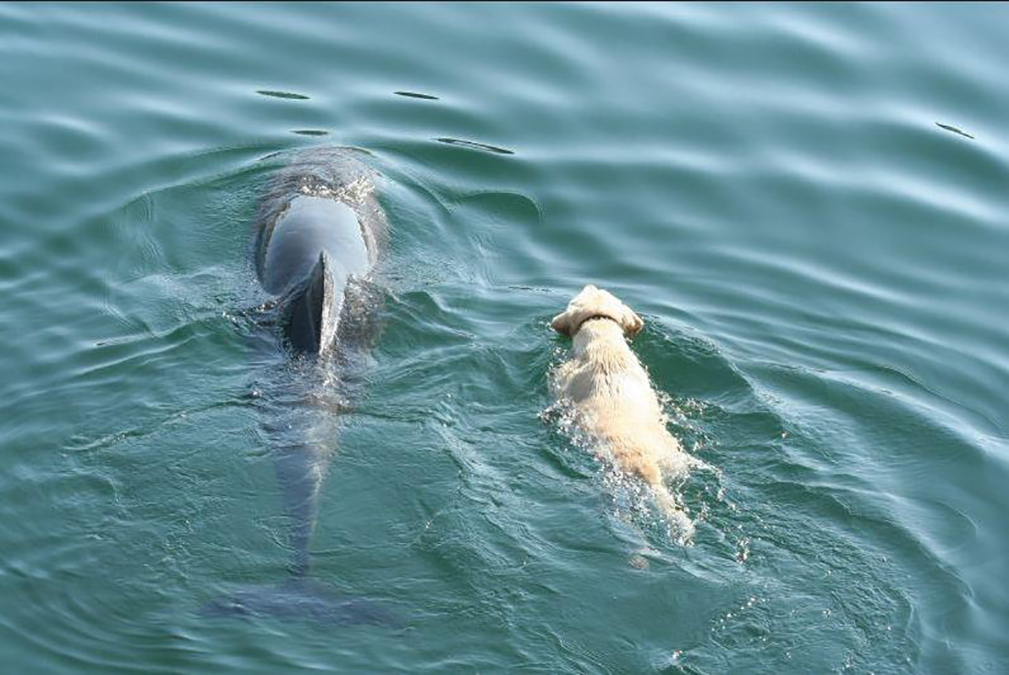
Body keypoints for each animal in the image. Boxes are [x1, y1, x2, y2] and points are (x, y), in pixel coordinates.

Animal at [552, 282, 694, 532]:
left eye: (577, 296)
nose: (590, 283)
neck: (604, 340)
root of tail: (645, 462)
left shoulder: (562, 379)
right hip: (672, 458)